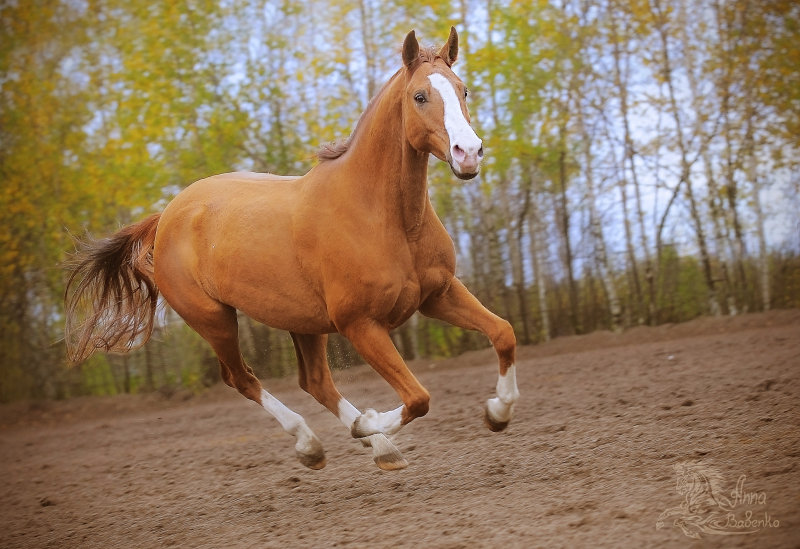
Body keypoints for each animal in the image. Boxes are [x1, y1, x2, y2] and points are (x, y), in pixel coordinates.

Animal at [67, 26, 520, 470]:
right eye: (420, 96)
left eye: (463, 90)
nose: (468, 153)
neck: (384, 219)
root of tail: (167, 216)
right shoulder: (361, 324)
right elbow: (418, 397)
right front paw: (368, 424)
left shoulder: (439, 294)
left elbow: (503, 333)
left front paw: (497, 413)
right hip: (214, 320)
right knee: (242, 378)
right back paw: (314, 444)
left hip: (302, 321)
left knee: (315, 381)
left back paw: (377, 448)